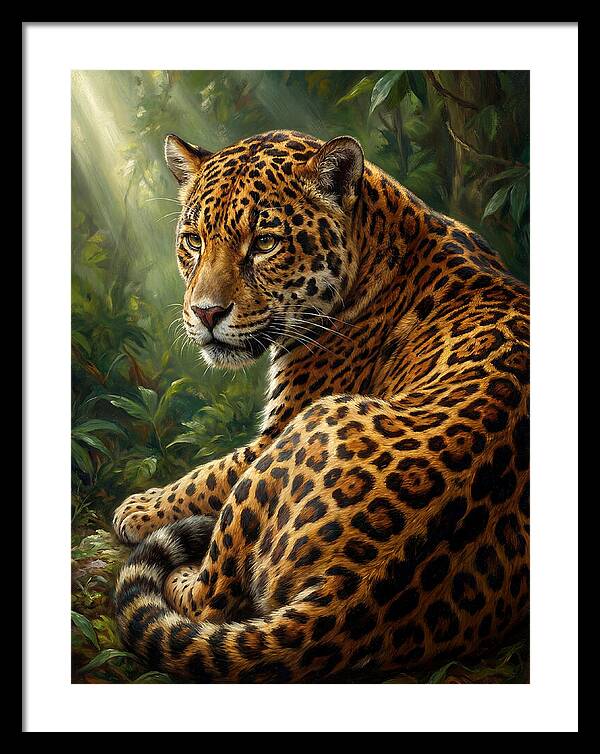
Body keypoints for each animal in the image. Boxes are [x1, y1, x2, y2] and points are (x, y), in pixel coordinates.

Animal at [113, 129, 529, 683]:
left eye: (265, 243)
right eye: (194, 240)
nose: (205, 313)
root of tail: (350, 592)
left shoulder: (279, 427)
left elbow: (208, 475)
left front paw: (139, 509)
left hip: (305, 429)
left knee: (211, 599)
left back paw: (182, 571)